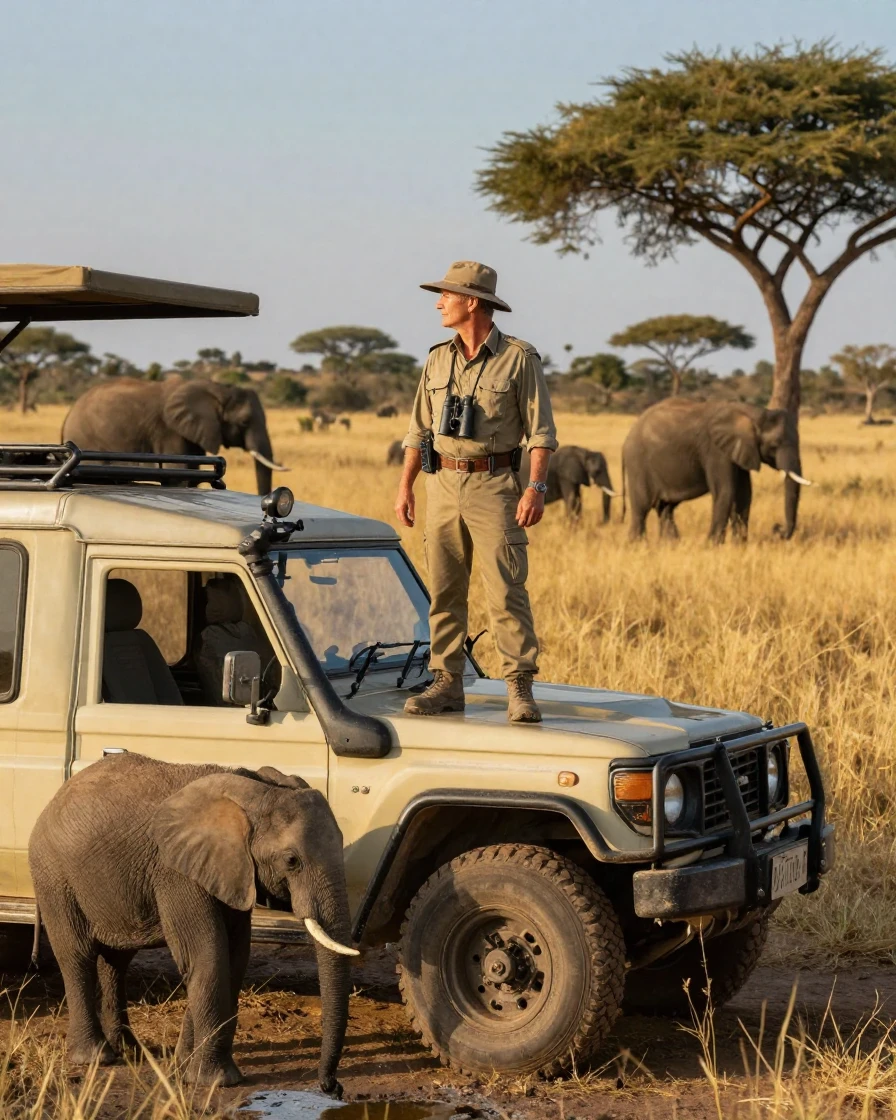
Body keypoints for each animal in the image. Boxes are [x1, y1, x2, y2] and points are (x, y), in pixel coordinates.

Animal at [28, 753, 357, 1093]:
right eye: (292, 861)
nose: (332, 1087)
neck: (257, 792)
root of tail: (54, 800)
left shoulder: (230, 871)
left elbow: (234, 959)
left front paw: (184, 1064)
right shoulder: (176, 872)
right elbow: (209, 955)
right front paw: (217, 1081)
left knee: (116, 962)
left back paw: (131, 1052)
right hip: (53, 875)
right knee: (77, 957)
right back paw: (95, 1058)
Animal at [622, 398, 811, 542]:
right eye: (774, 445)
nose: (777, 529)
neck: (752, 412)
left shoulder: (739, 450)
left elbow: (744, 494)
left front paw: (739, 545)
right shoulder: (715, 450)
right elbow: (725, 491)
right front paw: (712, 546)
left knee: (666, 510)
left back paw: (670, 545)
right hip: (638, 464)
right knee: (641, 509)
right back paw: (638, 546)